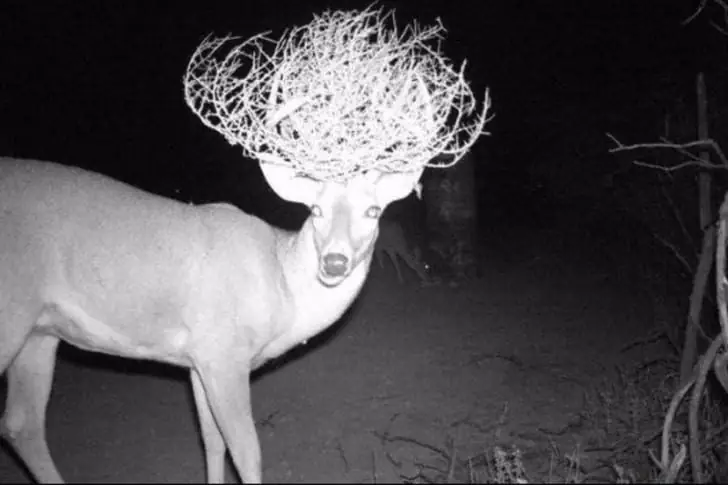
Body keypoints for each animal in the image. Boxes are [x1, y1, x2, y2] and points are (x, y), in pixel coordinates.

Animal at [0, 157, 424, 483]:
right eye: (315, 210)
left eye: (373, 210)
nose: (334, 261)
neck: (282, 289)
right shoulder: (223, 352)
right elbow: (247, 451)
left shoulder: (198, 359)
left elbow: (212, 440)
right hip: (13, 312)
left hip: (40, 331)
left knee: (21, 423)